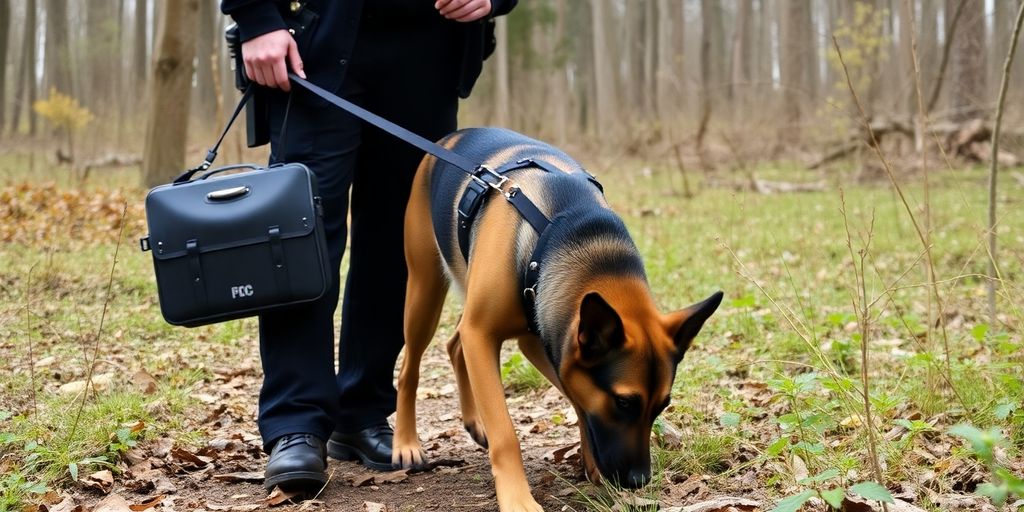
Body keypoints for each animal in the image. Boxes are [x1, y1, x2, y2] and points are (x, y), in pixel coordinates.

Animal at [391, 125, 720, 509]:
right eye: (624, 402)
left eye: (663, 404)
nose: (640, 480)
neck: (567, 228)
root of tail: (450, 138)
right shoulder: (486, 334)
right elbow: (507, 432)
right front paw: (517, 498)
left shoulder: (545, 341)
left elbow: (578, 400)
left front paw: (591, 465)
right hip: (424, 290)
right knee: (410, 366)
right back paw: (406, 442)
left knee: (455, 343)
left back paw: (475, 420)